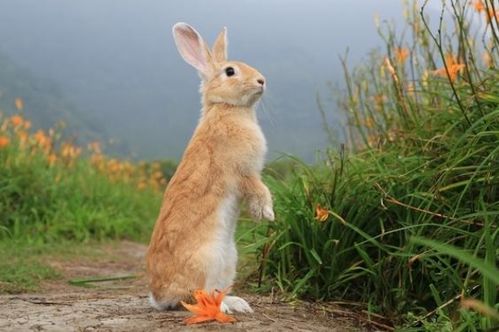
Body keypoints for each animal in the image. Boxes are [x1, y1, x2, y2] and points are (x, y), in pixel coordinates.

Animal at [146, 22, 276, 314]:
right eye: (230, 71)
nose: (262, 80)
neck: (227, 108)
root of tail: (158, 297)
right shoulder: (243, 170)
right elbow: (258, 189)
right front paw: (267, 213)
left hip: (228, 260)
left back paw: (237, 303)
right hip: (206, 259)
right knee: (192, 297)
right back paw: (221, 309)